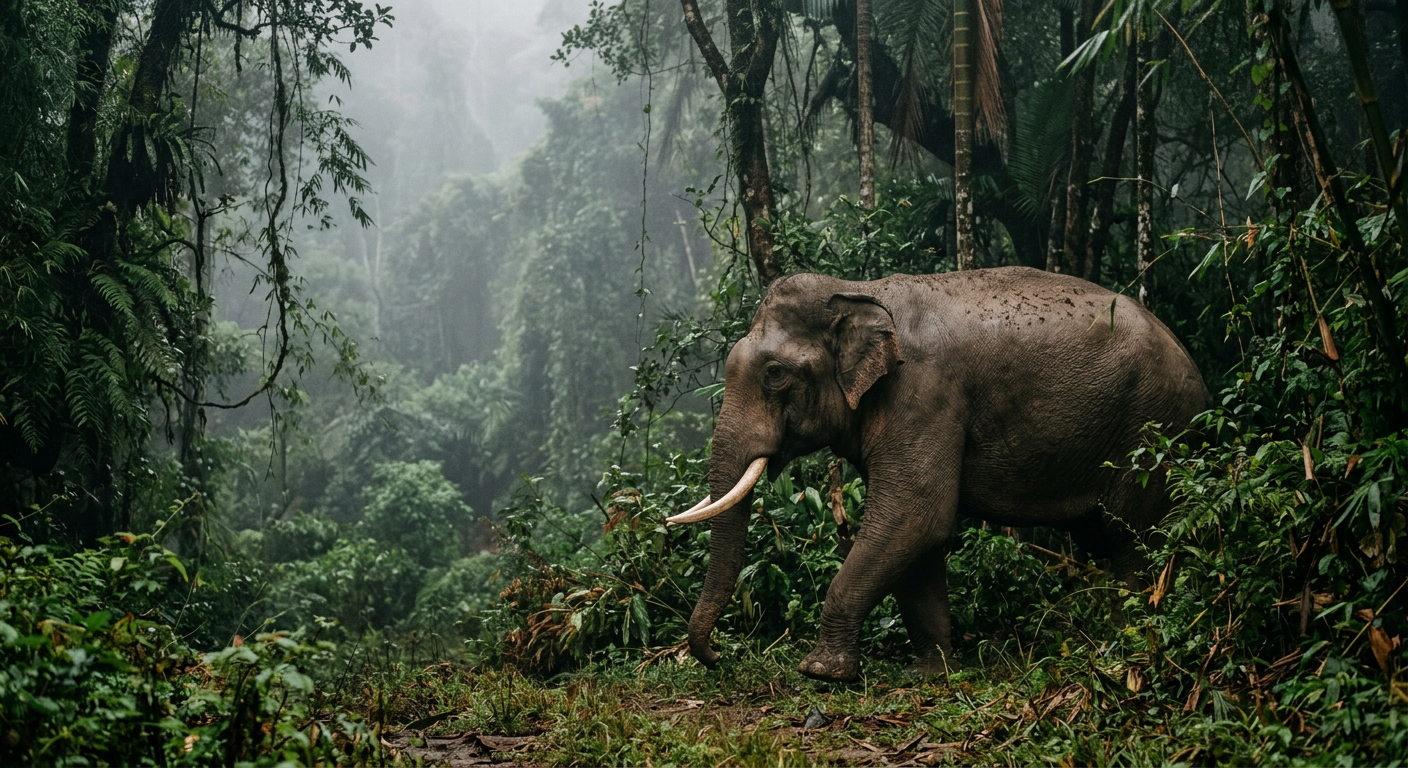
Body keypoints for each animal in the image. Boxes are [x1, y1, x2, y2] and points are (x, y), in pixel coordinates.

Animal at [667, 266, 1210, 683]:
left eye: (775, 374)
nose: (718, 656)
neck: (858, 289)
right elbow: (916, 540)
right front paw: (930, 674)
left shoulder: (924, 394)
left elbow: (915, 517)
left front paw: (821, 672)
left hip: (1151, 433)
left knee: (1132, 538)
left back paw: (1124, 642)